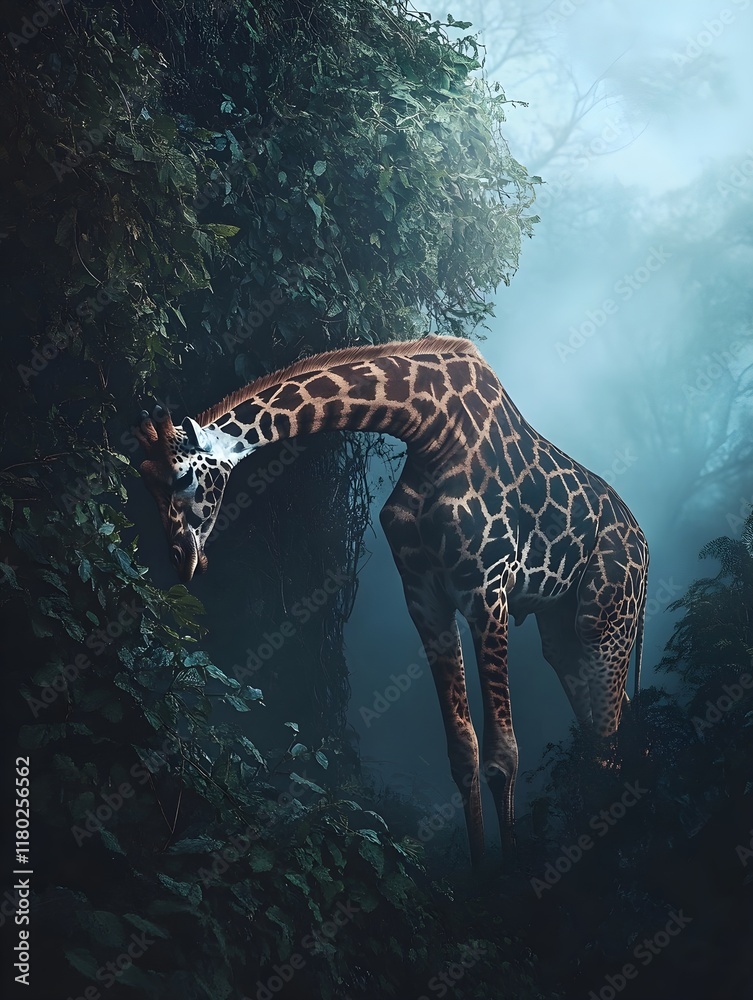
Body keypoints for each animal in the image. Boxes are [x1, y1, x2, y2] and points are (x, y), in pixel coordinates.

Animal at [136, 335, 649, 865]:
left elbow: (503, 754)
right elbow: (463, 752)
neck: (430, 428)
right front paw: (482, 869)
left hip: (603, 621)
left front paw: (510, 872)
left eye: (181, 479)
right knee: (608, 727)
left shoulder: (488, 590)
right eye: (143, 480)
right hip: (563, 633)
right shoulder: (425, 596)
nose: (182, 561)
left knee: (606, 739)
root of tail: (644, 544)